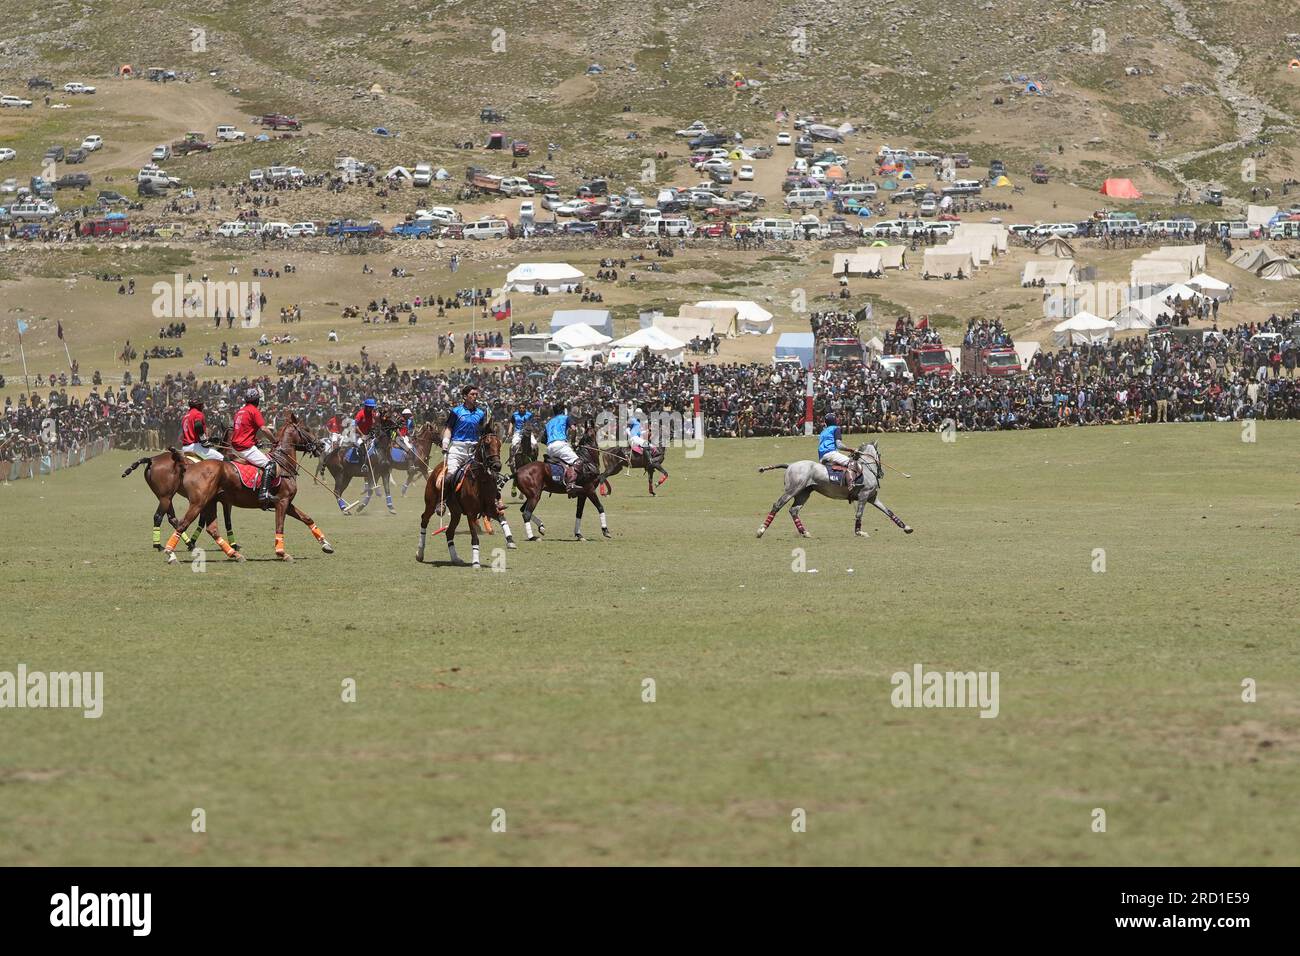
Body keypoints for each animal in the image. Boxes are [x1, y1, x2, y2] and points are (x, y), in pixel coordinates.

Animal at [160, 416, 332, 564]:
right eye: (306, 429)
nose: (321, 445)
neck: (283, 464)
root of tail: (190, 465)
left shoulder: (286, 503)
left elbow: (307, 518)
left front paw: (326, 545)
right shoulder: (282, 502)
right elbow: (280, 526)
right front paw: (282, 553)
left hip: (210, 502)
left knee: (212, 529)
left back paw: (234, 554)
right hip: (198, 503)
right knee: (182, 524)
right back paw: (170, 554)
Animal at [418, 429, 514, 564]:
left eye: (499, 444)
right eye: (487, 445)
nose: (497, 466)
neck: (481, 480)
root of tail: (437, 468)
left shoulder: (489, 508)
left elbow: (501, 517)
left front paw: (510, 540)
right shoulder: (471, 513)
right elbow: (475, 537)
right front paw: (476, 562)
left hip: (456, 512)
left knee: (449, 532)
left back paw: (455, 558)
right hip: (431, 503)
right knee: (424, 520)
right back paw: (420, 553)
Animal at [754, 439, 915, 538]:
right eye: (880, 454)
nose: (882, 473)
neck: (866, 469)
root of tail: (790, 465)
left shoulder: (872, 497)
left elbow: (888, 511)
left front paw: (906, 527)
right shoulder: (864, 496)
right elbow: (859, 514)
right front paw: (859, 532)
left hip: (804, 492)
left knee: (794, 510)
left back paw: (805, 532)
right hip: (792, 489)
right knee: (777, 505)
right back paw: (761, 530)